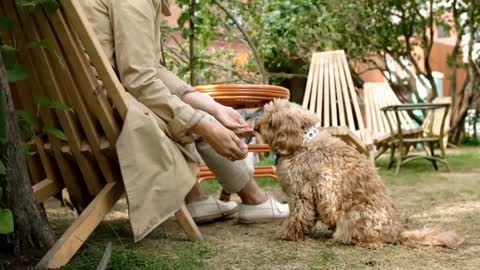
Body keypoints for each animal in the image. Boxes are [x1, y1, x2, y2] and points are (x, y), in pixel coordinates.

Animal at [256, 98, 464, 248]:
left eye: (271, 121)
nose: (256, 126)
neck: (303, 140)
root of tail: (398, 232)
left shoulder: (301, 192)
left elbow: (297, 217)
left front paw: (287, 234)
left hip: (348, 210)